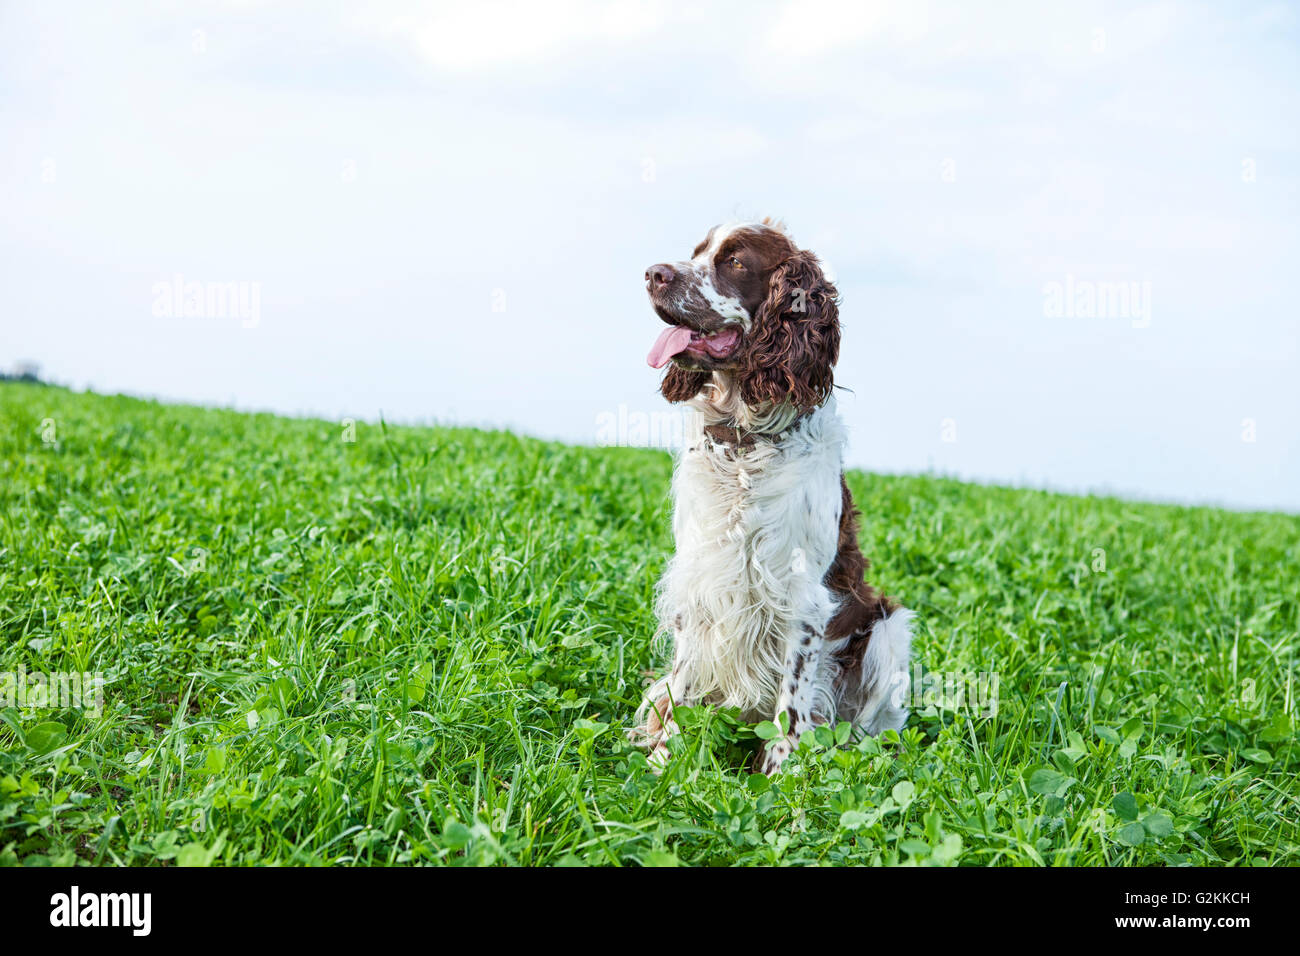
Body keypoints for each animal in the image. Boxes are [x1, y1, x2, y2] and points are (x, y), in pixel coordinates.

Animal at [634, 221, 909, 775]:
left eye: (736, 262)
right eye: (696, 252)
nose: (653, 273)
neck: (746, 443)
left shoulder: (804, 598)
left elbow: (792, 704)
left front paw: (781, 774)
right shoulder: (698, 578)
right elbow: (682, 683)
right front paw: (666, 757)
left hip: (890, 632)